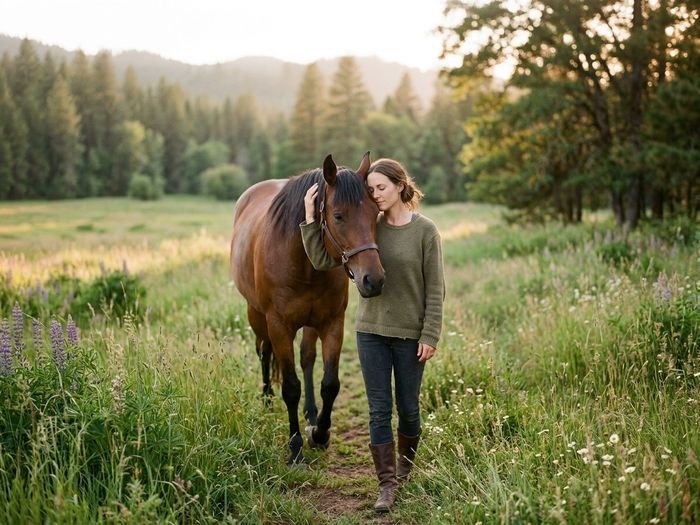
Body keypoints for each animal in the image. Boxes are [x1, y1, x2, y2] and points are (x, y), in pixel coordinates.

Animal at [230, 152, 385, 464]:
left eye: (375, 213)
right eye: (338, 216)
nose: (373, 280)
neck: (302, 260)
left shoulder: (332, 323)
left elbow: (330, 383)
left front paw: (320, 432)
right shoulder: (278, 326)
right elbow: (291, 387)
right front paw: (295, 448)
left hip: (311, 323)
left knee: (307, 359)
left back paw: (311, 413)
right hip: (256, 315)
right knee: (263, 351)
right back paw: (267, 398)